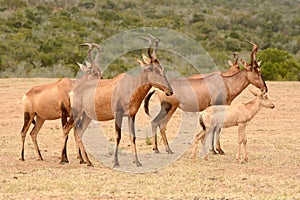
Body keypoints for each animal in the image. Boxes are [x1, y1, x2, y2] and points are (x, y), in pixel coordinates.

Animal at [61, 36, 172, 167]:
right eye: (151, 68)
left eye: (161, 68)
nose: (170, 91)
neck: (129, 85)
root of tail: (74, 90)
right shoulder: (118, 114)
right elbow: (118, 136)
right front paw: (115, 162)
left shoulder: (131, 115)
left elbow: (132, 136)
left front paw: (137, 161)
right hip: (76, 113)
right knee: (66, 129)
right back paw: (63, 160)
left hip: (87, 116)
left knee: (78, 132)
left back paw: (87, 161)